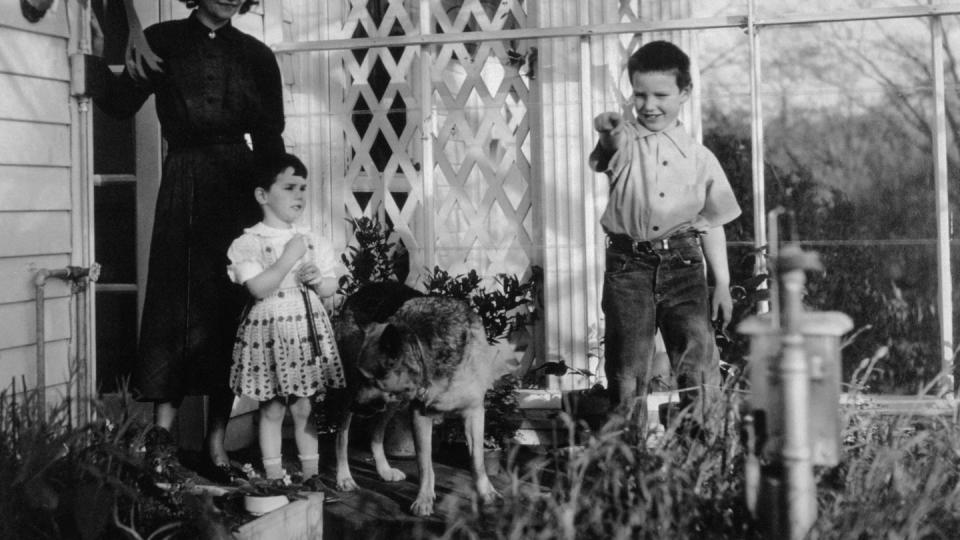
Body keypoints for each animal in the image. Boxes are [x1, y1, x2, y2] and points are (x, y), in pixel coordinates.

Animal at [332, 282, 516, 516]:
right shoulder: (420, 416)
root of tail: (362, 290)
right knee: (342, 436)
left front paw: (486, 493)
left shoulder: (474, 412)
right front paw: (424, 499)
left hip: (393, 401)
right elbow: (425, 464)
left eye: (368, 378)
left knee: (376, 433)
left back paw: (383, 470)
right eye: (362, 376)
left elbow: (477, 461)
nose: (356, 405)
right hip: (354, 396)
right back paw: (344, 477)